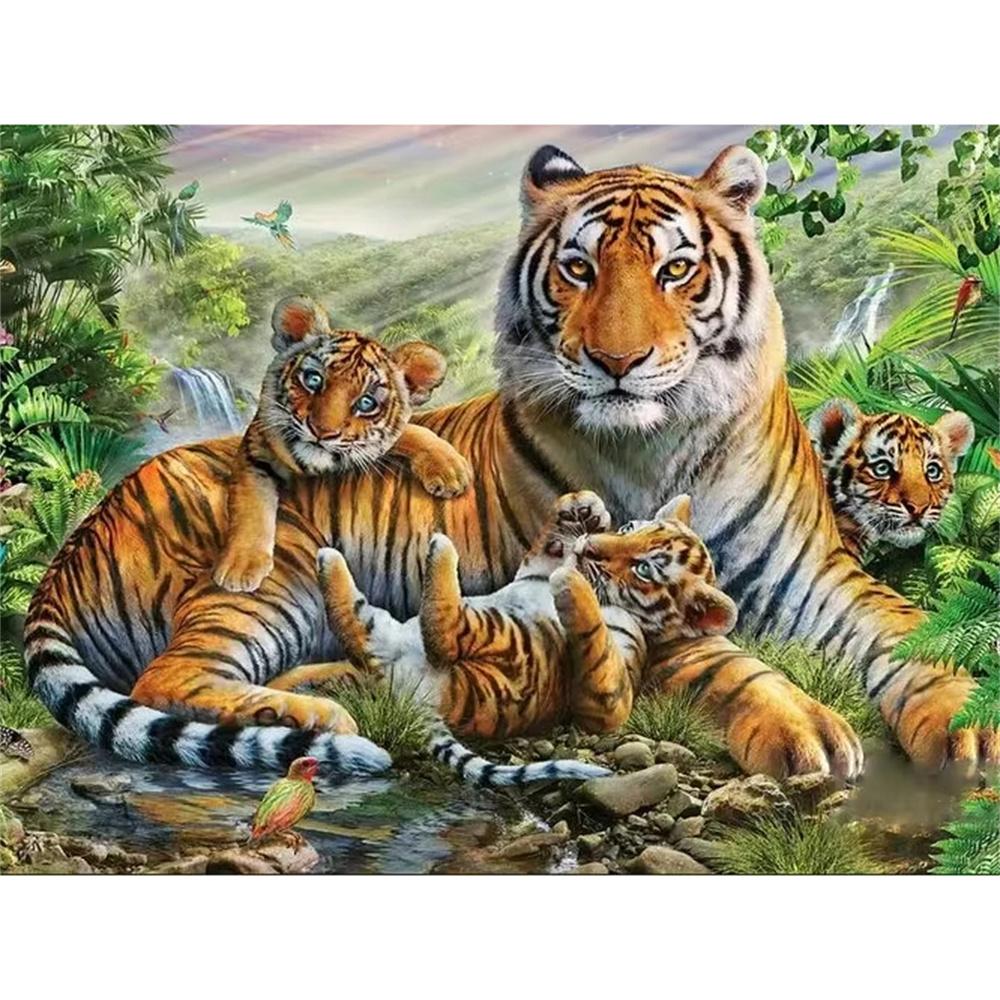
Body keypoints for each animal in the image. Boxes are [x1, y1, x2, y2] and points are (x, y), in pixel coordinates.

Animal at [213, 294, 472, 593]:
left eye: (366, 403)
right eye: (313, 380)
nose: (322, 432)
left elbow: (409, 432)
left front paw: (450, 469)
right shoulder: (256, 451)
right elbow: (251, 504)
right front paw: (241, 566)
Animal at [309, 490, 736, 784]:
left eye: (644, 569)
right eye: (631, 528)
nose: (590, 547)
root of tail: (412, 698)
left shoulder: (610, 698)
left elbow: (596, 644)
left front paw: (571, 583)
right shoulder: (534, 567)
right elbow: (547, 547)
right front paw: (584, 505)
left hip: (508, 644)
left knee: (447, 630)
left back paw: (439, 549)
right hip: (385, 631)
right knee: (355, 627)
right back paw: (329, 558)